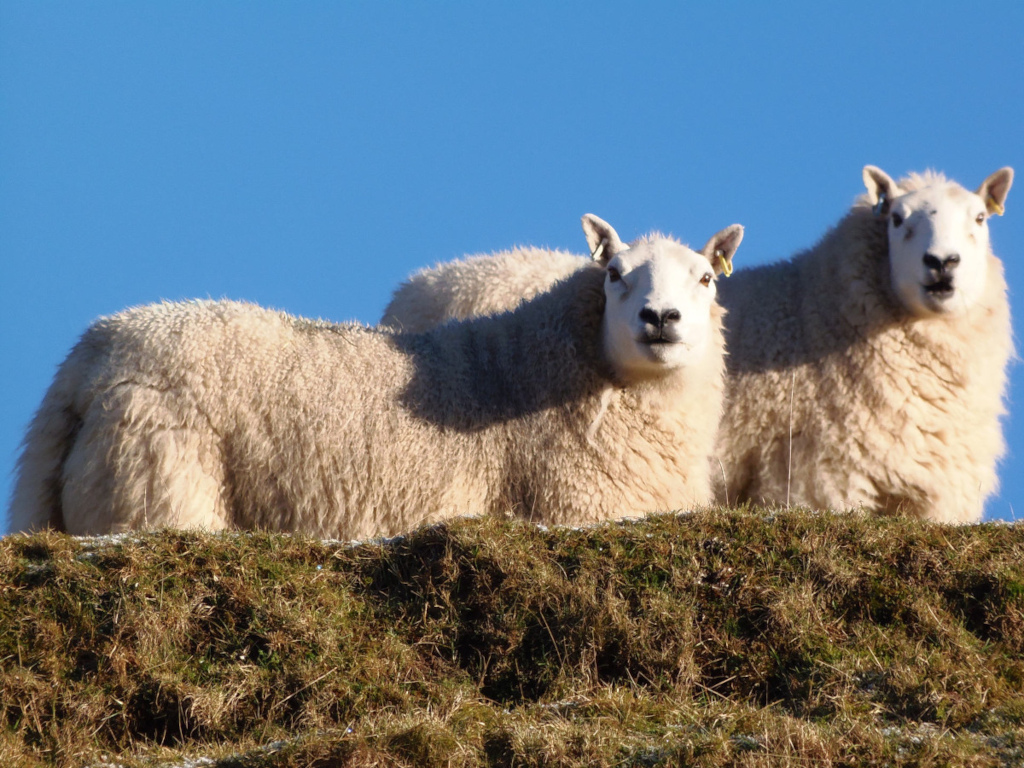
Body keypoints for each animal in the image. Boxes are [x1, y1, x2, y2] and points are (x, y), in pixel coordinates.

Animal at [8, 214, 743, 537]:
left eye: (706, 279)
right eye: (615, 273)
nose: (660, 317)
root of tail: (87, 360)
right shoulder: (576, 507)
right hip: (159, 490)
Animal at [380, 167, 1014, 523]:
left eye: (981, 219)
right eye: (898, 218)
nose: (942, 264)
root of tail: (422, 281)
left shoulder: (934, 494)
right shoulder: (822, 477)